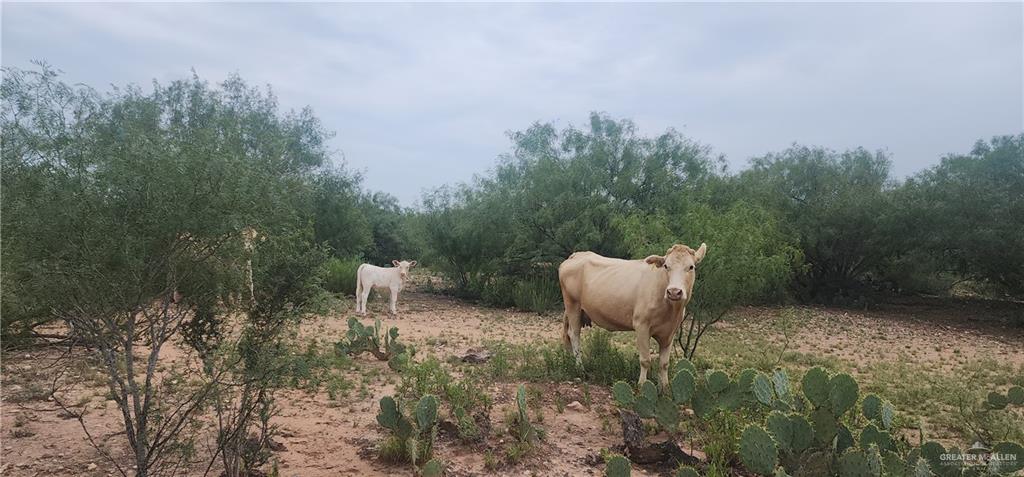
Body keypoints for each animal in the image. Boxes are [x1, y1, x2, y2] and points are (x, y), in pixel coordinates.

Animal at [557, 243, 708, 388]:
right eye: (666, 266)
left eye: (691, 267)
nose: (674, 292)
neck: (670, 309)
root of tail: (577, 255)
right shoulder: (641, 325)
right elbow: (645, 360)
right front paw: (641, 386)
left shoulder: (670, 331)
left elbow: (664, 364)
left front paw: (665, 388)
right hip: (572, 305)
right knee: (574, 335)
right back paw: (580, 369)